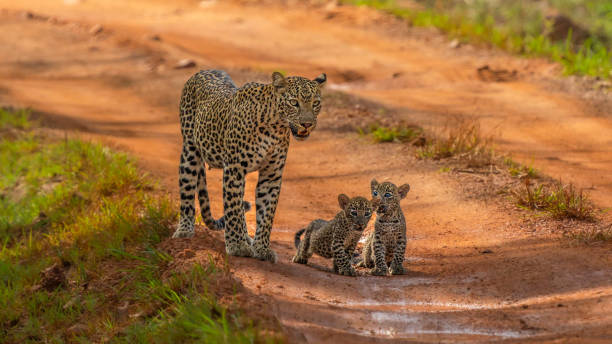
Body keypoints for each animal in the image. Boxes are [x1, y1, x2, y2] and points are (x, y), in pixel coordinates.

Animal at [172, 70, 326, 264]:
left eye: (316, 103)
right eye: (293, 102)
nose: (307, 124)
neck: (275, 126)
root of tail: (203, 71)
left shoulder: (271, 176)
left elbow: (266, 214)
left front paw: (261, 248)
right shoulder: (234, 169)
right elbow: (233, 209)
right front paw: (237, 246)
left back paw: (247, 238)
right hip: (190, 151)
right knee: (188, 193)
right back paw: (184, 230)